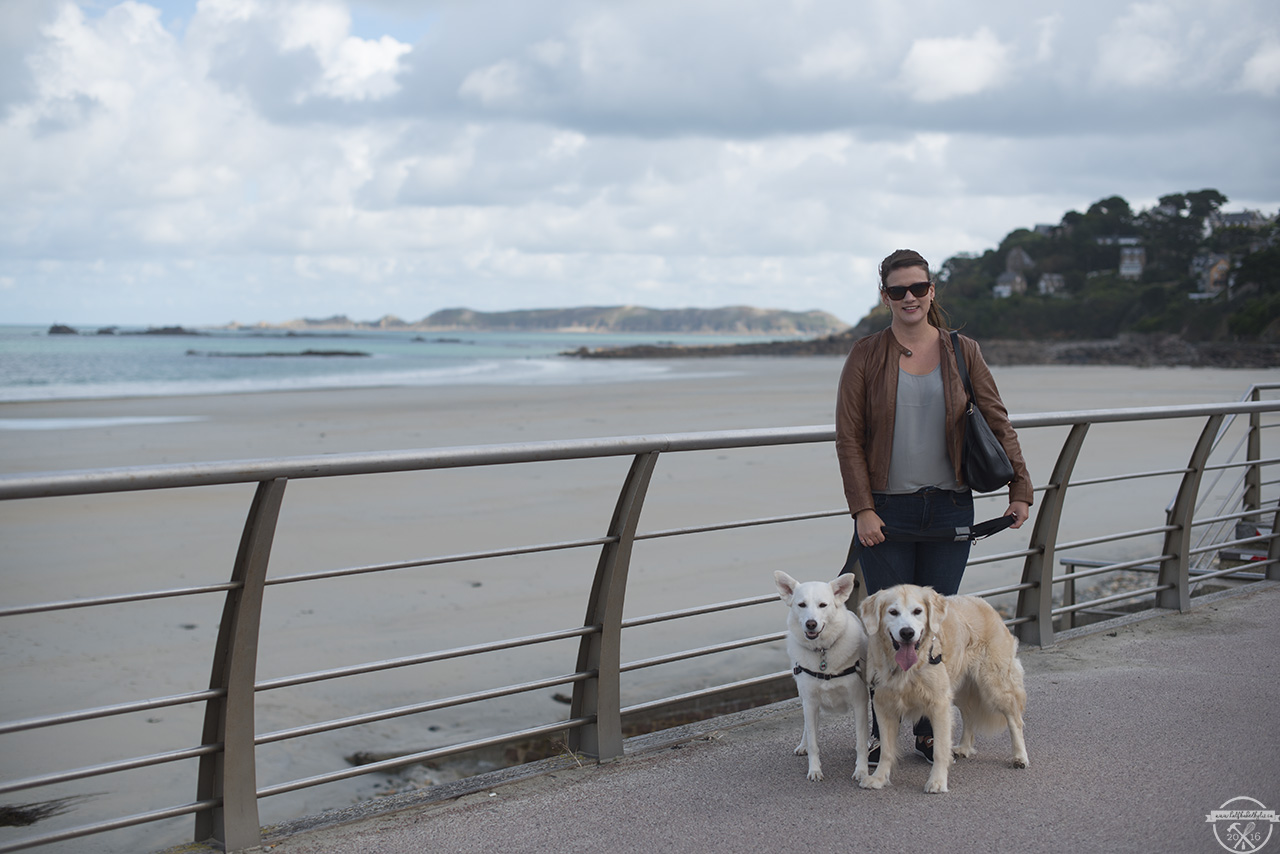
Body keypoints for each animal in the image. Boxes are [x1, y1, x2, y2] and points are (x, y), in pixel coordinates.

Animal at [768, 573, 870, 783]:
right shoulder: (810, 702)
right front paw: (814, 769)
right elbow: (814, 740)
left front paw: (862, 770)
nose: (811, 624)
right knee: (808, 726)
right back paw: (803, 745)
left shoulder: (859, 701)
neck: (823, 651)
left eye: (823, 605)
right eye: (801, 605)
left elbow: (860, 742)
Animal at [860, 583, 1029, 793]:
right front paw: (879, 778)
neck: (909, 668)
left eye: (917, 611)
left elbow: (940, 749)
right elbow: (886, 750)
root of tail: (984, 603)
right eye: (893, 612)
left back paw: (1020, 757)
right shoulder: (883, 705)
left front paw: (937, 781)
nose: (907, 632)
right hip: (961, 690)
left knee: (1015, 720)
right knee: (970, 716)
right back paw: (964, 748)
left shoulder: (939, 704)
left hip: (994, 685)